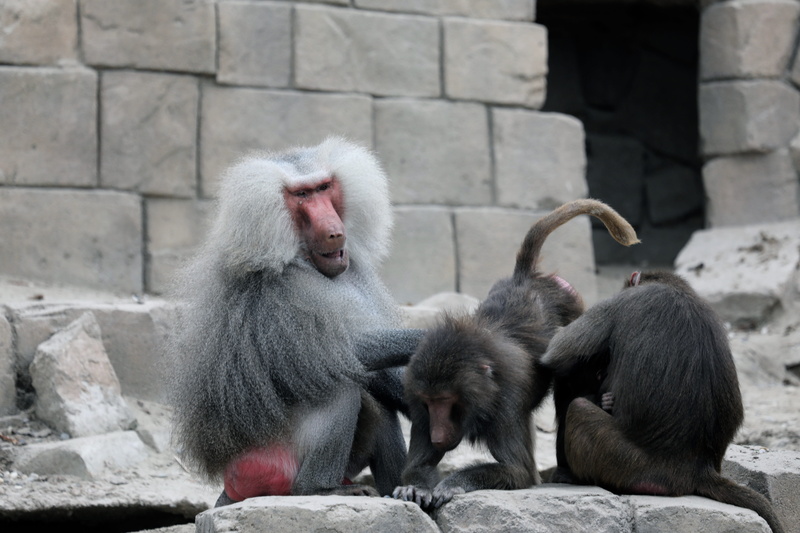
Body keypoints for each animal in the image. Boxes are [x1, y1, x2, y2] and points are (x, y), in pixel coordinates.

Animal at [165, 137, 425, 507]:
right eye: (301, 195)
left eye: (324, 187)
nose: (333, 233)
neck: (304, 260)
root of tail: (231, 483)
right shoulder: (284, 292)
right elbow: (333, 352)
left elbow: (376, 370)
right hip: (269, 459)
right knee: (339, 384)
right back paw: (320, 488)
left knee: (376, 404)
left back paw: (405, 491)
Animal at [392, 199, 639, 511]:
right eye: (429, 401)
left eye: (445, 401)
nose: (436, 436)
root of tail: (524, 278)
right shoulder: (417, 396)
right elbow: (420, 464)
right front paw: (415, 487)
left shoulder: (506, 403)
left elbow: (518, 470)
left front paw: (451, 484)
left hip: (574, 308)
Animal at [541, 270, 785, 533]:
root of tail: (697, 469)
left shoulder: (620, 303)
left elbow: (556, 351)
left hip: (628, 464)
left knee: (577, 404)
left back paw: (568, 476)